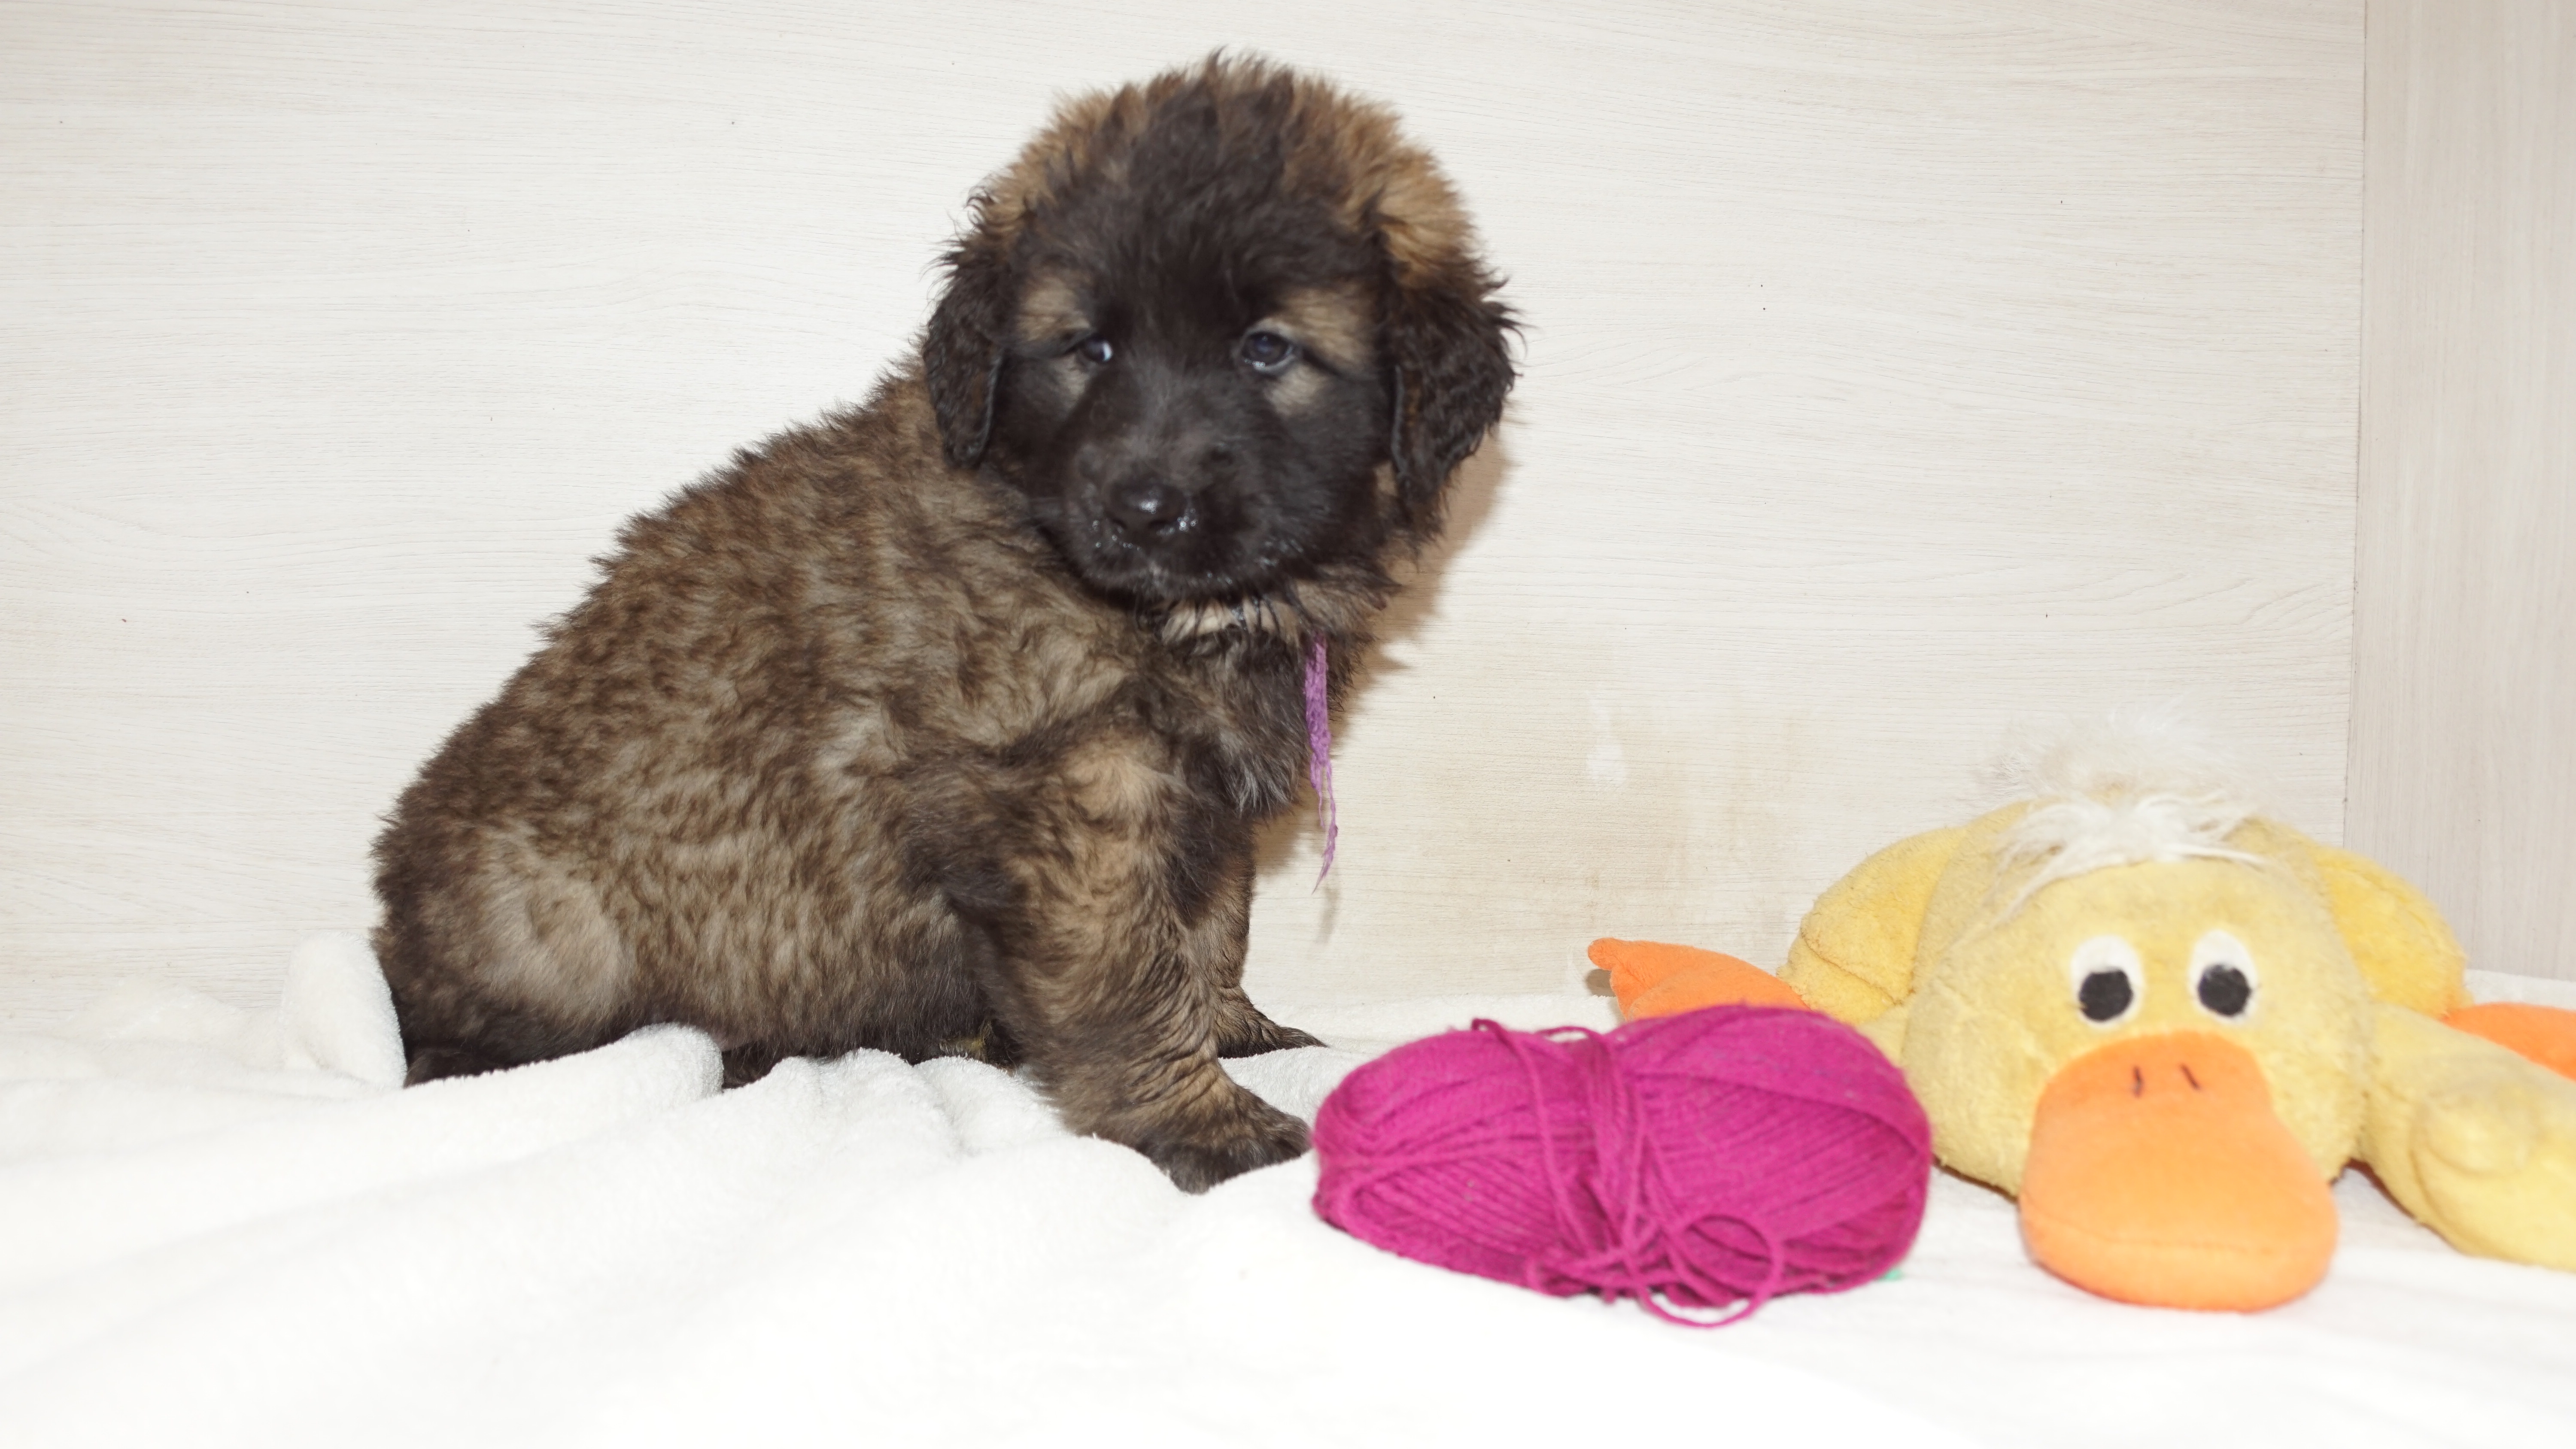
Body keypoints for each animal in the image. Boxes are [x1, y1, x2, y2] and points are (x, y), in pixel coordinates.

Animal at [371, 55, 1515, 1191]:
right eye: (1090, 348)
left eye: (1267, 350)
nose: (1143, 507)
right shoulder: (1074, 799)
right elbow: (1133, 980)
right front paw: (1198, 1119)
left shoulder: (1201, 810)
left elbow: (1208, 933)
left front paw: (1237, 1031)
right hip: (552, 924)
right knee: (451, 1039)